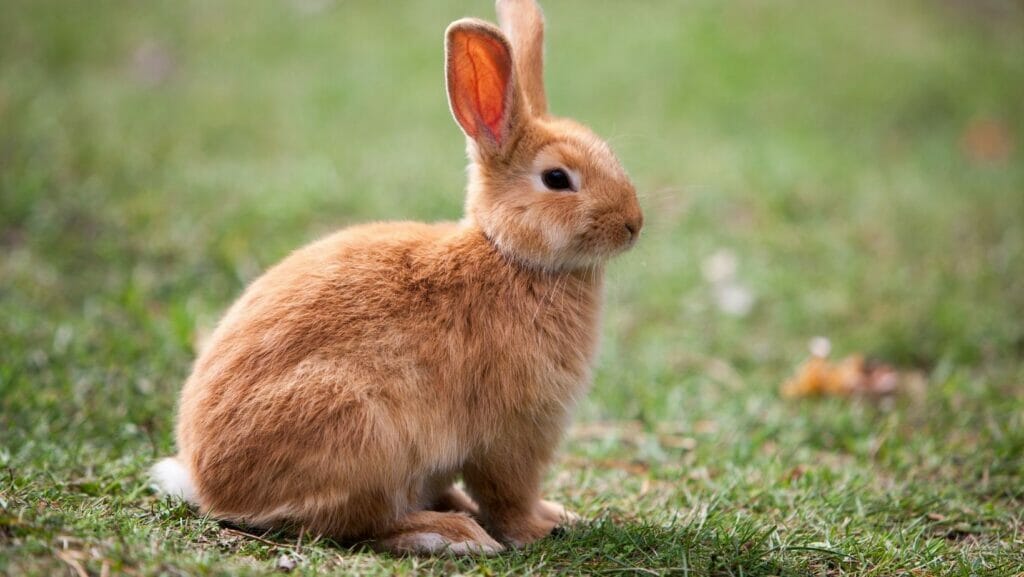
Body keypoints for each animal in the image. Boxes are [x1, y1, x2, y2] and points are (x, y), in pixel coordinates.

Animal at [151, 0, 642, 556]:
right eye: (557, 179)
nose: (633, 224)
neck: (509, 254)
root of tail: (211, 486)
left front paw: (560, 515)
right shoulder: (513, 435)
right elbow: (508, 494)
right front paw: (540, 528)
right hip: (361, 435)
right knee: (356, 522)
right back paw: (452, 534)